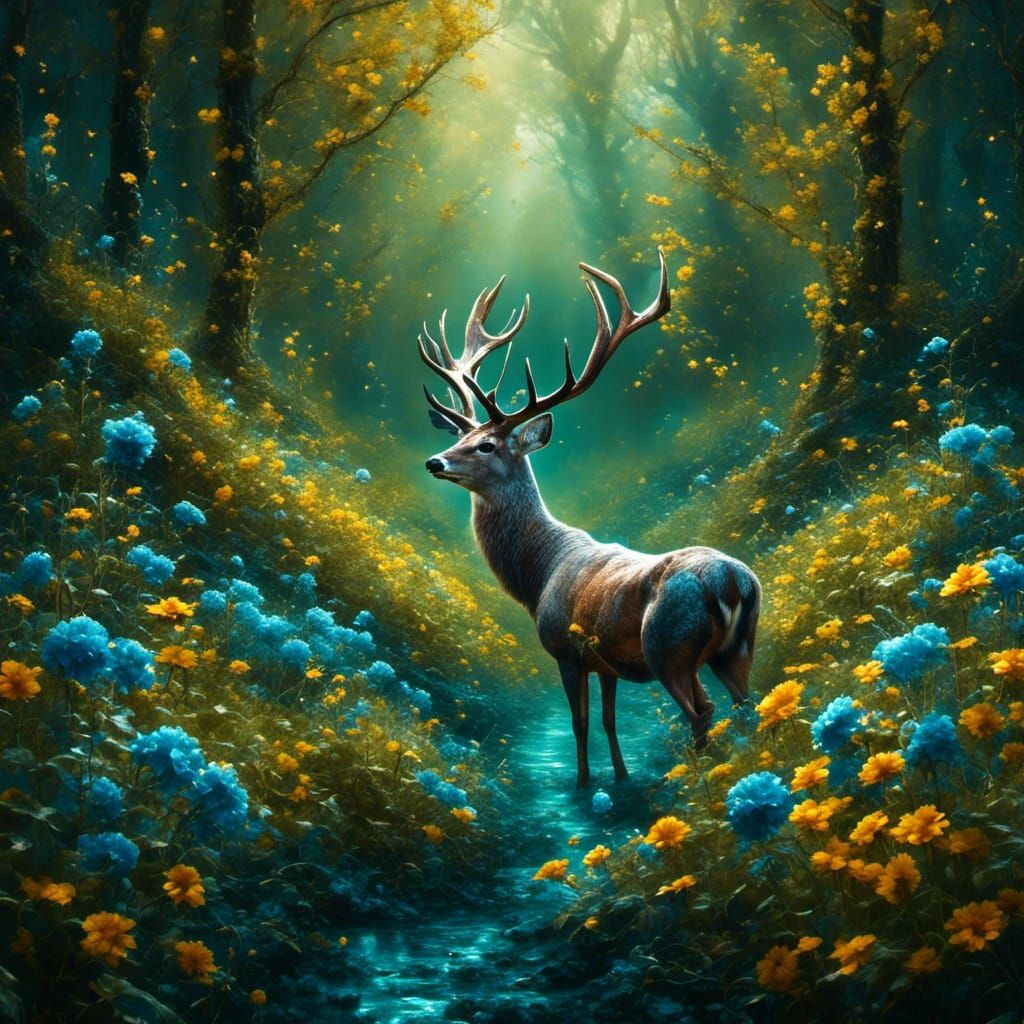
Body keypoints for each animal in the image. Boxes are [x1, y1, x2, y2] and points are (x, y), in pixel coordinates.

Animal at [420, 252, 761, 788]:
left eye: (487, 445)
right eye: (462, 437)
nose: (435, 461)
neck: (537, 574)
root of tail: (731, 581)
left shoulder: (565, 649)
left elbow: (581, 722)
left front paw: (583, 783)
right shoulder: (607, 663)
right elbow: (608, 719)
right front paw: (620, 776)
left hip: (667, 645)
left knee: (702, 711)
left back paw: (695, 784)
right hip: (737, 647)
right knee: (748, 704)